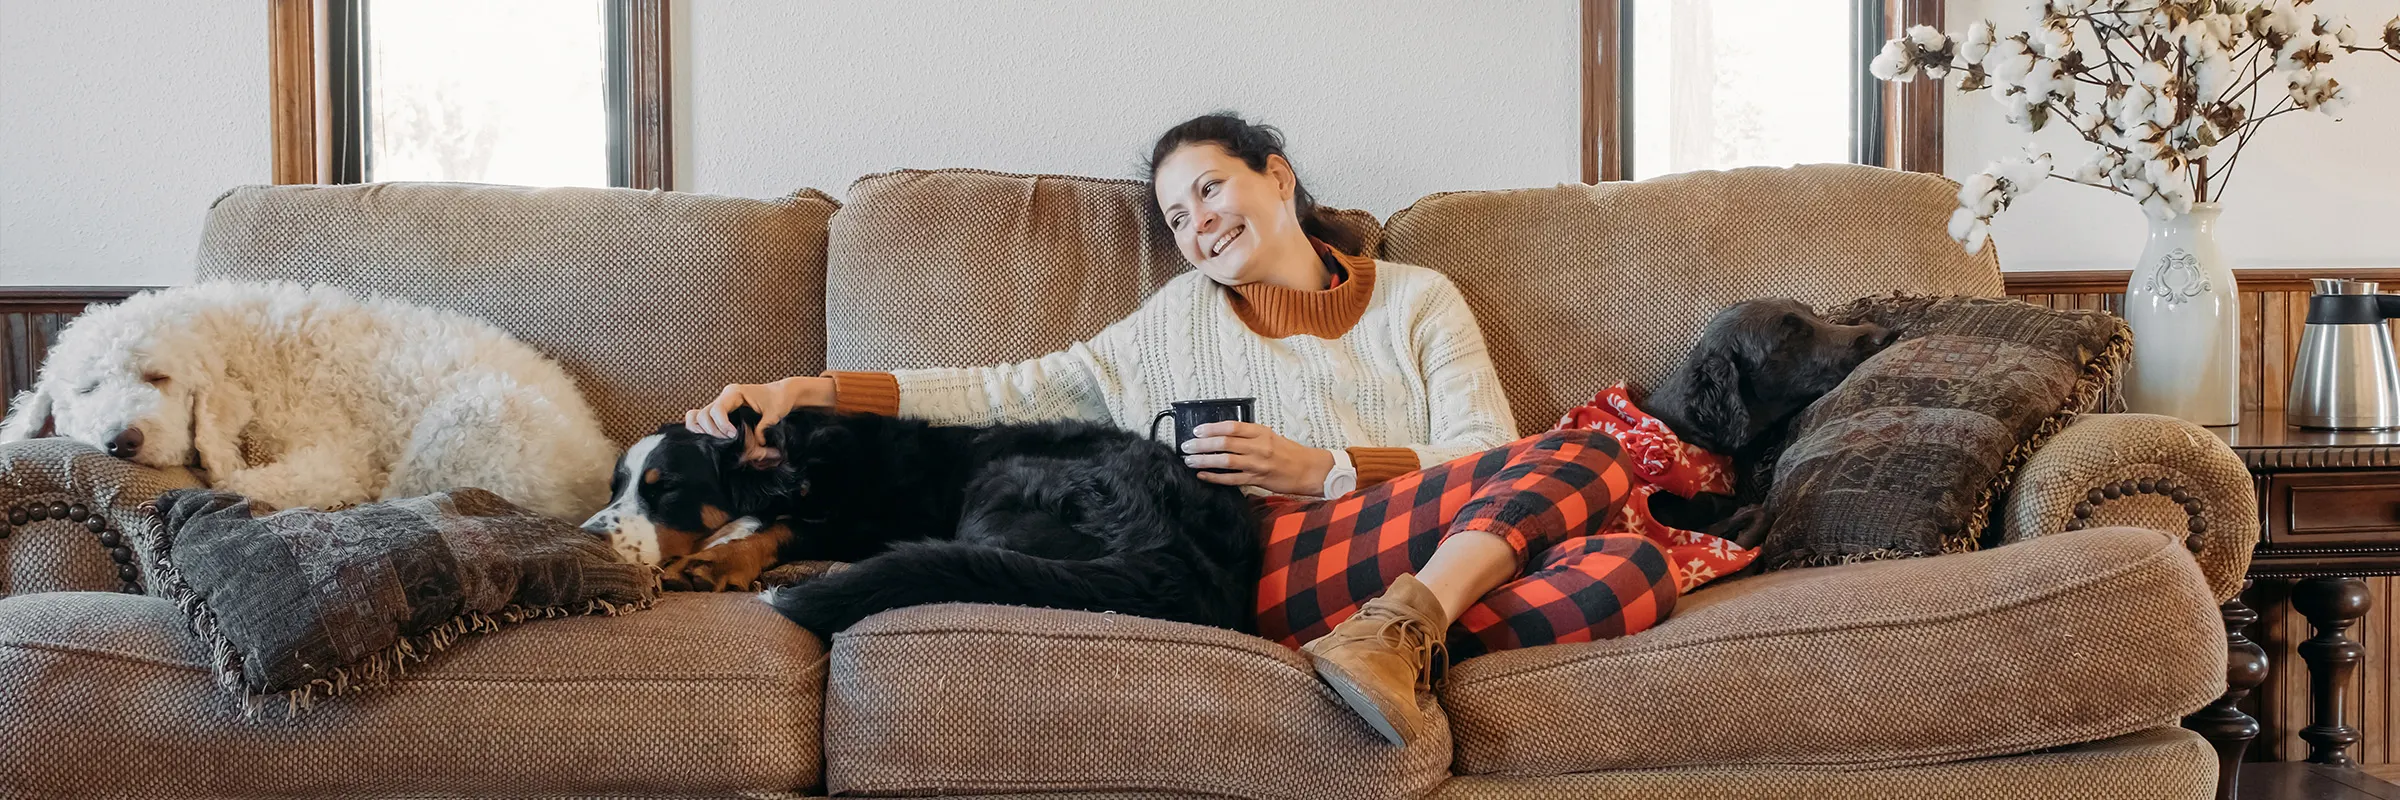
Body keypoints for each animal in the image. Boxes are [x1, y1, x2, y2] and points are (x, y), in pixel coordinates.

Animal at [4, 279, 619, 516]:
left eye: (158, 377)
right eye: (88, 388)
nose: (121, 441)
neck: (237, 351)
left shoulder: (333, 459)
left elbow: (240, 482)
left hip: (471, 417)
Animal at [585, 408, 1257, 639]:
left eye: (665, 488)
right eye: (615, 485)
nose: (588, 536)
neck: (798, 464)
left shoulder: (860, 521)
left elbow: (782, 527)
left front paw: (715, 559)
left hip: (998, 485)